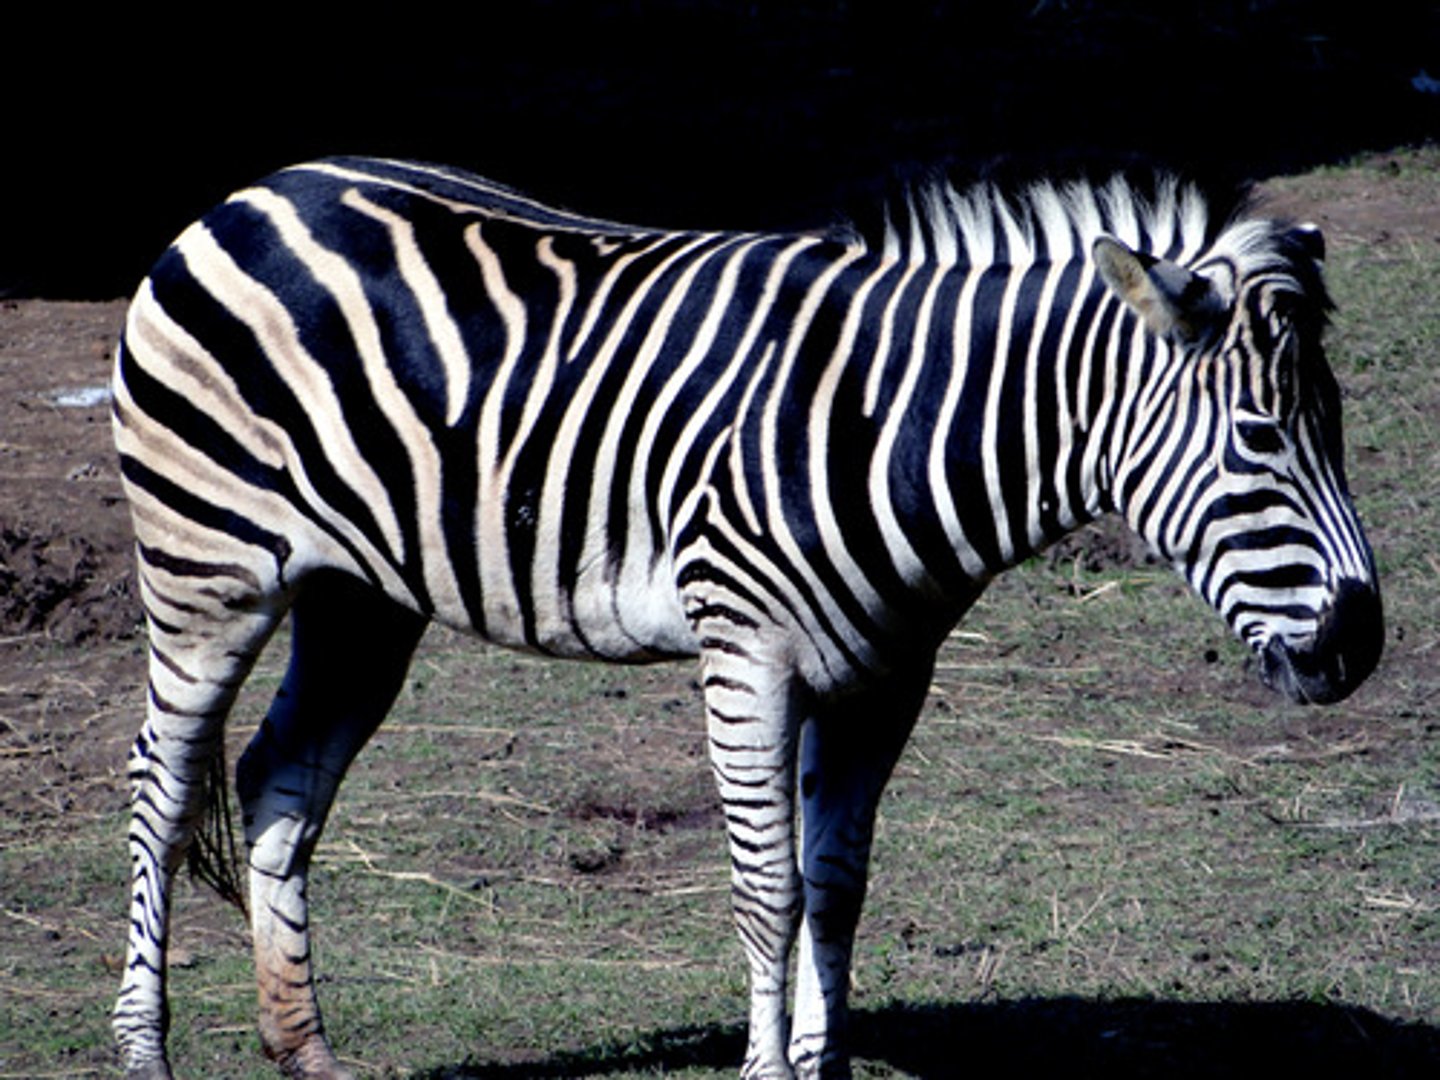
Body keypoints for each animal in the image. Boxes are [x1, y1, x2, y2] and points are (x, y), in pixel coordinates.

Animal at [110, 156, 1381, 1079]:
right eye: (1259, 438)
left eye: (1338, 426)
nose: (1357, 649)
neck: (890, 423)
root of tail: (259, 189)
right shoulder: (747, 654)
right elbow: (768, 890)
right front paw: (770, 1074)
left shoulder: (885, 673)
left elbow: (838, 886)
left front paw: (822, 1067)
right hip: (206, 570)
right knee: (160, 789)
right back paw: (143, 1050)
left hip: (360, 599)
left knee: (280, 778)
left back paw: (304, 1050)